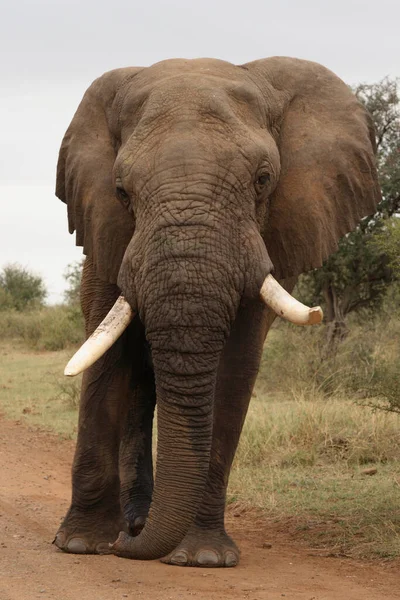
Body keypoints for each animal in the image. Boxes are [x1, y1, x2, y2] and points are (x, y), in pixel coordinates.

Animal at [54, 56, 382, 568]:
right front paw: (81, 545)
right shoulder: (105, 233)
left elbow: (235, 364)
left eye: (263, 180)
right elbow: (107, 357)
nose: (123, 547)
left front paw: (202, 558)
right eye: (121, 191)